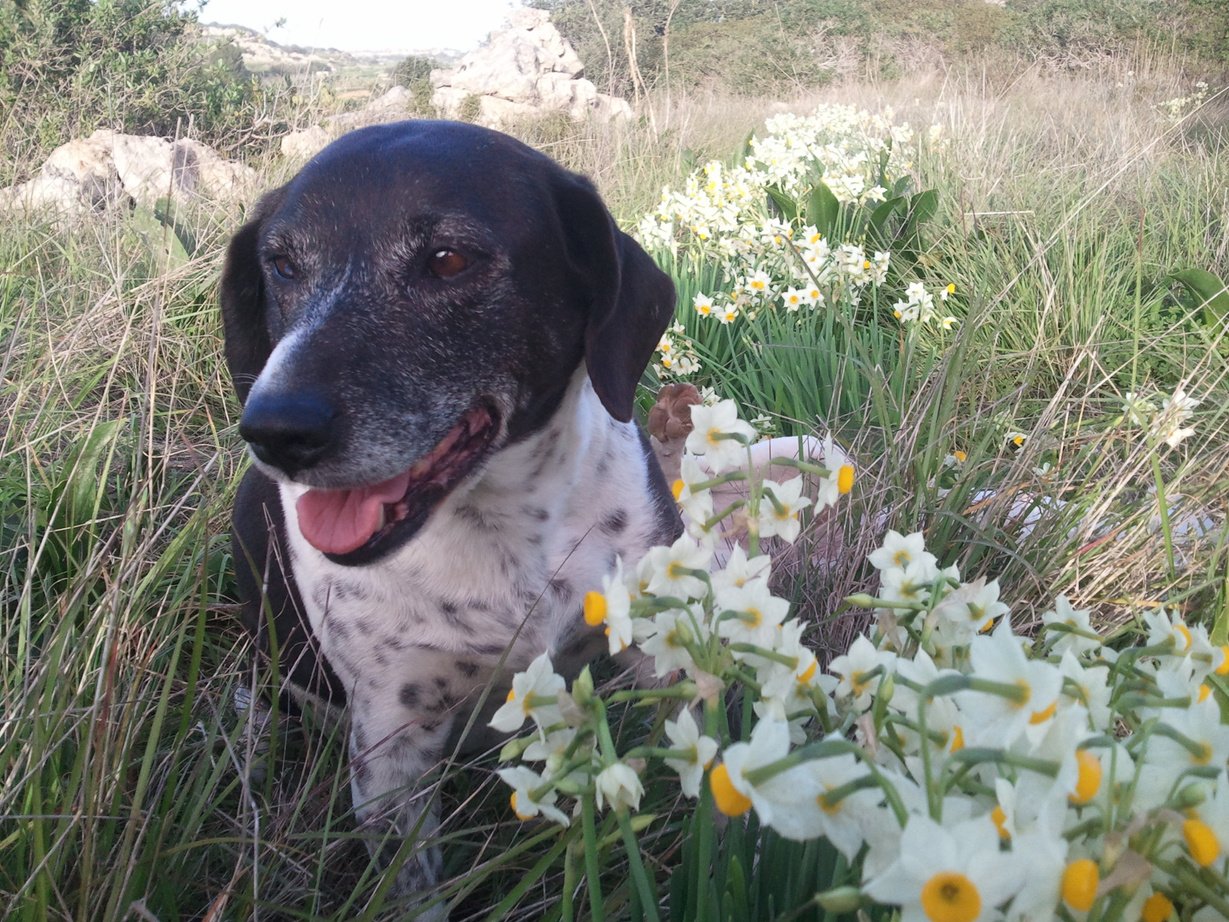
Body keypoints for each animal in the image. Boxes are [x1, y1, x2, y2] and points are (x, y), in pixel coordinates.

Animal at [221, 121, 683, 909]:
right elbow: (411, 888)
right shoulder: (392, 745)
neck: (506, 529)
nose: (275, 429)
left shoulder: (658, 645)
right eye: (280, 264)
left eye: (448, 260)